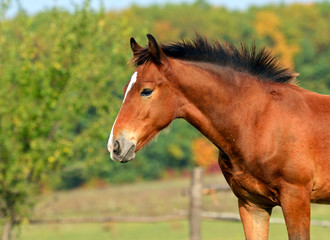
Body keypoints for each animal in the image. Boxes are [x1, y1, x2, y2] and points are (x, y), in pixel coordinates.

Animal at [108, 34, 330, 240]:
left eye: (146, 91)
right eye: (125, 89)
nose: (115, 145)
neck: (260, 121)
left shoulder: (295, 198)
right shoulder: (253, 204)